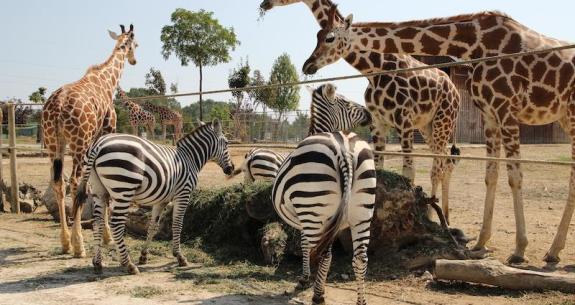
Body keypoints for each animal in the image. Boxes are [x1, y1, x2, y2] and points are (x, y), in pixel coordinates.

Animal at [41, 24, 138, 256]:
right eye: (136, 44)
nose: (134, 60)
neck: (107, 80)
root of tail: (57, 108)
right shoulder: (107, 130)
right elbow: (102, 188)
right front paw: (108, 237)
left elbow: (95, 186)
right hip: (78, 142)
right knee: (75, 183)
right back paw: (78, 245)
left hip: (53, 144)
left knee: (58, 183)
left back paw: (65, 242)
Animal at [74, 118, 234, 274]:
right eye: (226, 143)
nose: (231, 168)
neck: (190, 158)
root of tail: (98, 144)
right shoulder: (183, 193)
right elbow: (177, 224)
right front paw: (179, 257)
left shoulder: (161, 200)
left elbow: (152, 226)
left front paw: (144, 256)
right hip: (124, 188)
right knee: (116, 224)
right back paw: (129, 265)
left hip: (99, 191)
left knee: (97, 223)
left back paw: (97, 263)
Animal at [264, 0, 462, 221]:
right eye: (316, 36)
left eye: (329, 37)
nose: (308, 66)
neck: (374, 71)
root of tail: (456, 91)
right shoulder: (378, 122)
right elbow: (378, 168)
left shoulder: (404, 120)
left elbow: (408, 173)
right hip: (427, 127)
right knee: (445, 162)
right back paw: (443, 214)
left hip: (443, 121)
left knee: (438, 166)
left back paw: (439, 215)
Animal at [272, 82, 376, 304]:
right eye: (346, 102)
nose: (369, 113)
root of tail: (344, 149)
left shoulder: (306, 220)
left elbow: (305, 245)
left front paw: (306, 280)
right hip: (363, 213)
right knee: (360, 258)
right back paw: (360, 300)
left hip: (312, 210)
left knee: (319, 251)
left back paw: (317, 295)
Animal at [306, 10, 575, 264]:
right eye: (317, 35)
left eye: (330, 37)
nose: (308, 65)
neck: (475, 44)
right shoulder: (490, 114)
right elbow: (491, 175)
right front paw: (480, 242)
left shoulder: (506, 110)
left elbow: (514, 177)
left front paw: (519, 249)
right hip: (562, 117)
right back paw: (553, 251)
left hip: (568, 114)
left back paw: (553, 250)